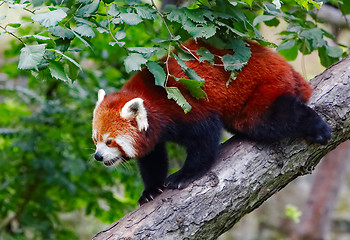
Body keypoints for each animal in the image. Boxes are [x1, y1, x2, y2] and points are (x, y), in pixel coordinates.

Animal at [92, 39, 330, 204]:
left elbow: (204, 138)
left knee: (269, 119)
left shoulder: (183, 104)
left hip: (263, 89)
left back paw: (318, 127)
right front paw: (151, 190)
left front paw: (184, 176)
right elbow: (153, 159)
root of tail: (286, 66)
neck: (152, 99)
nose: (97, 156)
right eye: (96, 140)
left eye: (110, 141)